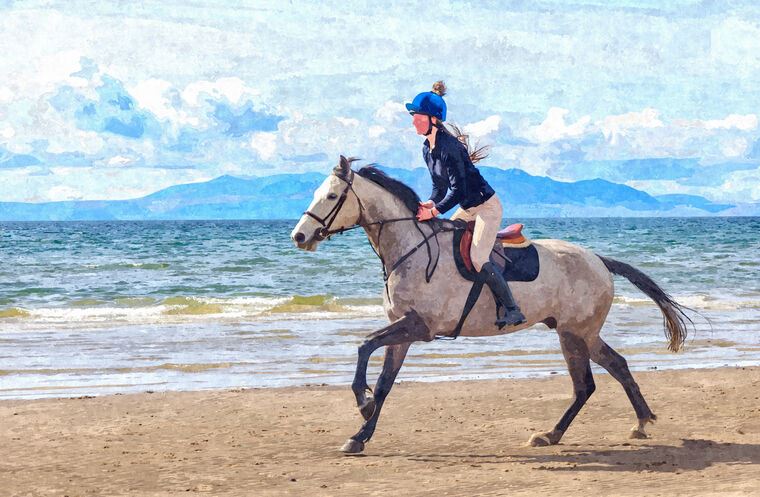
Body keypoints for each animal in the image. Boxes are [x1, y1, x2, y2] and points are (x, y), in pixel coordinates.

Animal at [288, 155, 692, 454]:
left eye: (331, 197)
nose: (299, 236)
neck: (409, 249)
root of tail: (598, 260)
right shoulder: (403, 332)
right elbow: (385, 381)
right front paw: (360, 433)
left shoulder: (420, 327)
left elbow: (364, 345)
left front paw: (362, 402)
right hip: (577, 333)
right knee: (611, 369)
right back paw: (626, 424)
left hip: (574, 333)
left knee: (587, 383)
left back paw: (561, 432)